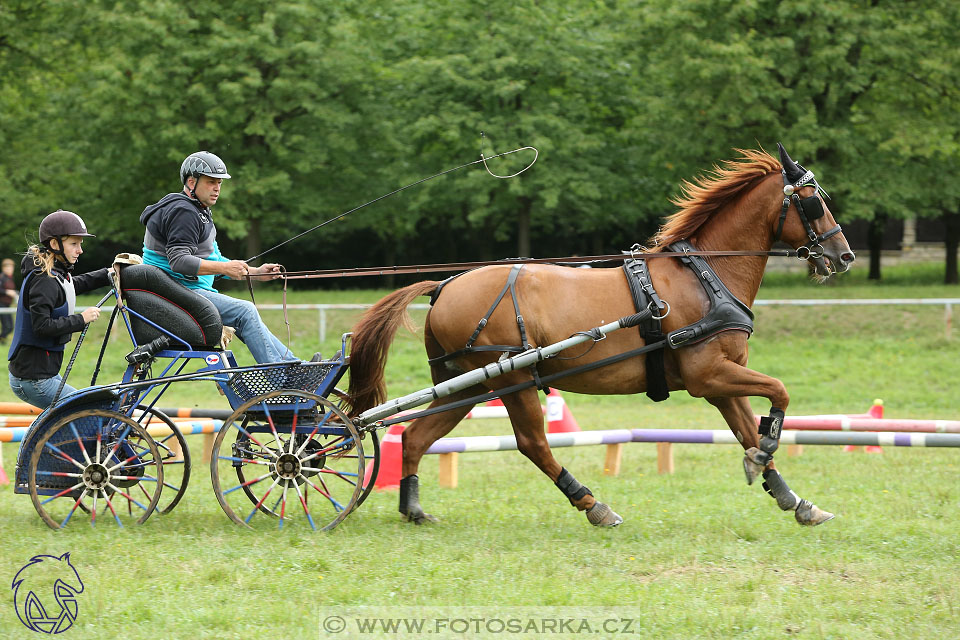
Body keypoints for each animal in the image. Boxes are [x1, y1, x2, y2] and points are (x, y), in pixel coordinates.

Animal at [350, 146, 856, 528]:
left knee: (416, 437)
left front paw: (795, 500)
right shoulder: (708, 375)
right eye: (812, 201)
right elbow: (779, 394)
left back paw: (413, 508)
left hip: (468, 384)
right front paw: (766, 451)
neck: (705, 276)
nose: (844, 254)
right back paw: (593, 505)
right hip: (511, 380)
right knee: (532, 444)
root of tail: (445, 285)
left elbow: (748, 428)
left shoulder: (720, 381)